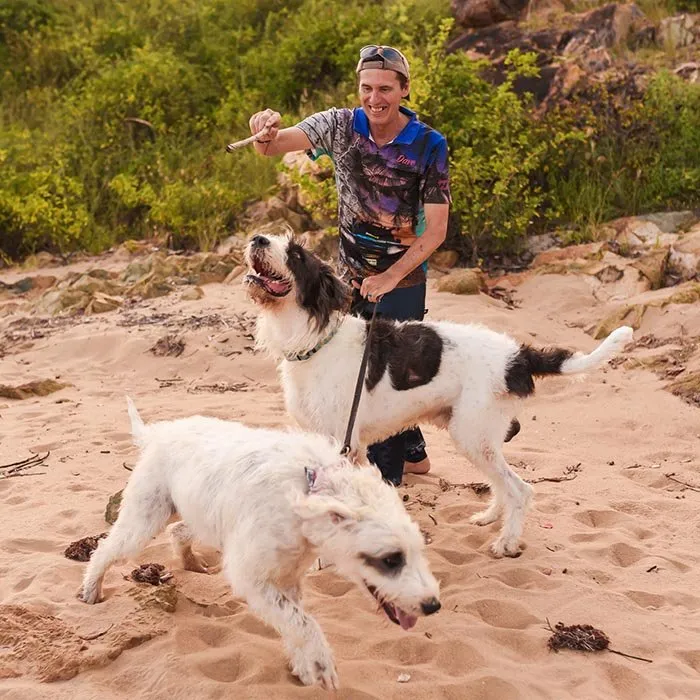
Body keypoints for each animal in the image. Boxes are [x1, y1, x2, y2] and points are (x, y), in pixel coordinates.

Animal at [79, 400, 440, 688]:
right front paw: (321, 665)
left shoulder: (287, 577)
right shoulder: (252, 579)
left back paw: (190, 563)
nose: (433, 606)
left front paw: (304, 668)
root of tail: (158, 433)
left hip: (203, 518)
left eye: (418, 553)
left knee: (178, 531)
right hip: (144, 520)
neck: (307, 490)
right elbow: (304, 624)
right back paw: (91, 590)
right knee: (105, 549)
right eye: (391, 559)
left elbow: (295, 623)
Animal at [242, 234, 636, 556]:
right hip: (477, 436)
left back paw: (506, 542)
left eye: (295, 254)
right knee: (503, 483)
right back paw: (490, 517)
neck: (315, 342)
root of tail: (518, 356)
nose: (257, 239)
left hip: (472, 434)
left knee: (520, 489)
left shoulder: (344, 442)